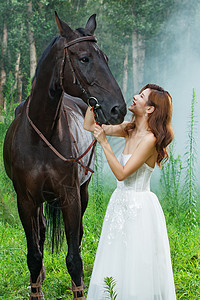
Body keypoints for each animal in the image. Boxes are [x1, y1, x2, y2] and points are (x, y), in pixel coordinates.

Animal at [3, 12, 126, 300]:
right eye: (84, 58)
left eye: (105, 57)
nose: (118, 109)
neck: (41, 137)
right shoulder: (25, 199)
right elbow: (34, 254)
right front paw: (36, 289)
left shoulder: (70, 196)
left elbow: (74, 257)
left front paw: (77, 288)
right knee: (41, 233)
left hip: (83, 191)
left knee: (76, 237)